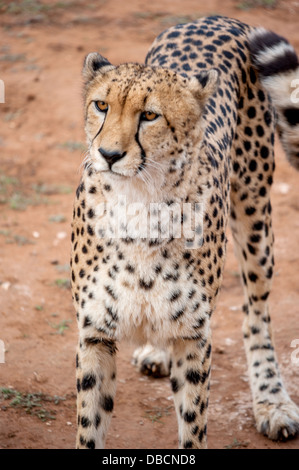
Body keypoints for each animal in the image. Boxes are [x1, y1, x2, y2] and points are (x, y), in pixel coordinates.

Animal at [71, 13, 299, 448]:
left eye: (150, 116)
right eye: (101, 106)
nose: (108, 154)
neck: (139, 202)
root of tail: (215, 17)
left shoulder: (195, 336)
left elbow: (194, 423)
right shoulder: (95, 333)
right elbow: (90, 426)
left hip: (255, 215)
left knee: (256, 315)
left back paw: (272, 401)